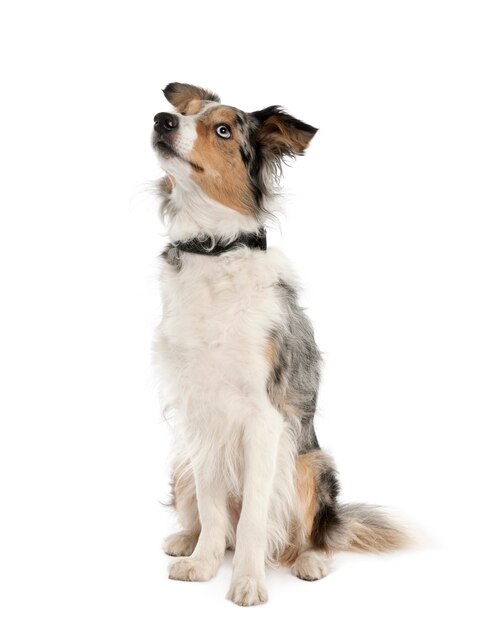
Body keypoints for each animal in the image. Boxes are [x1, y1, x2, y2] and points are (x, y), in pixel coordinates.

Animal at [151, 84, 408, 604]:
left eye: (222, 130)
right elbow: (212, 508)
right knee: (211, 519)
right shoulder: (199, 414)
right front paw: (203, 565)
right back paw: (186, 540)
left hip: (308, 463)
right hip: (183, 461)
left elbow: (252, 517)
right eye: (185, 113)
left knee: (312, 532)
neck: (213, 248)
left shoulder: (265, 416)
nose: (161, 121)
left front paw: (248, 582)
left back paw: (309, 560)